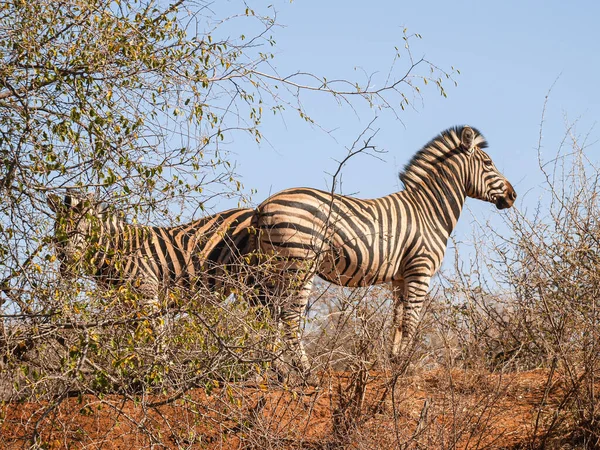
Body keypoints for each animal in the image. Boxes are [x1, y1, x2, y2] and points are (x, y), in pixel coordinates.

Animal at [253, 125, 516, 372]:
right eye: (488, 163)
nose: (512, 195)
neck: (429, 211)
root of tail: (262, 206)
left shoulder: (400, 277)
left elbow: (397, 321)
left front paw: (394, 362)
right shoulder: (420, 270)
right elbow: (411, 321)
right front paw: (406, 365)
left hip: (273, 270)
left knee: (270, 314)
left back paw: (276, 370)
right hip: (300, 265)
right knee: (289, 316)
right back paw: (304, 370)